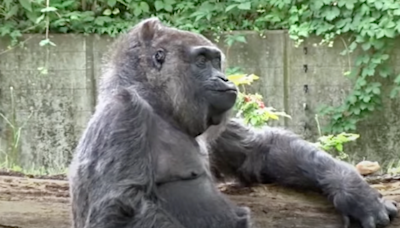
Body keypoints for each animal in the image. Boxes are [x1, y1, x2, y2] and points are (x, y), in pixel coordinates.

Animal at [68, 17, 396, 228]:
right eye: (202, 61)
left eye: (216, 61)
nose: (225, 78)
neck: (158, 104)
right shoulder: (123, 113)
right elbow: (118, 209)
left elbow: (259, 149)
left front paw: (355, 191)